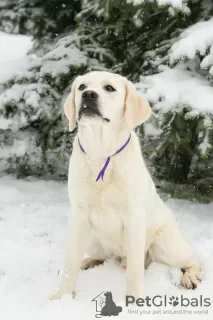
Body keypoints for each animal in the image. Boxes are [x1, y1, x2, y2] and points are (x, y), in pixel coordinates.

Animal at [50, 70, 202, 300]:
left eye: (109, 88)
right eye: (82, 86)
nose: (88, 95)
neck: (101, 151)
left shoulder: (133, 217)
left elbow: (135, 270)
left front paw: (135, 300)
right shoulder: (78, 215)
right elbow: (70, 263)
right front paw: (62, 296)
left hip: (167, 247)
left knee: (195, 260)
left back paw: (190, 276)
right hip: (94, 238)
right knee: (102, 256)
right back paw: (86, 262)